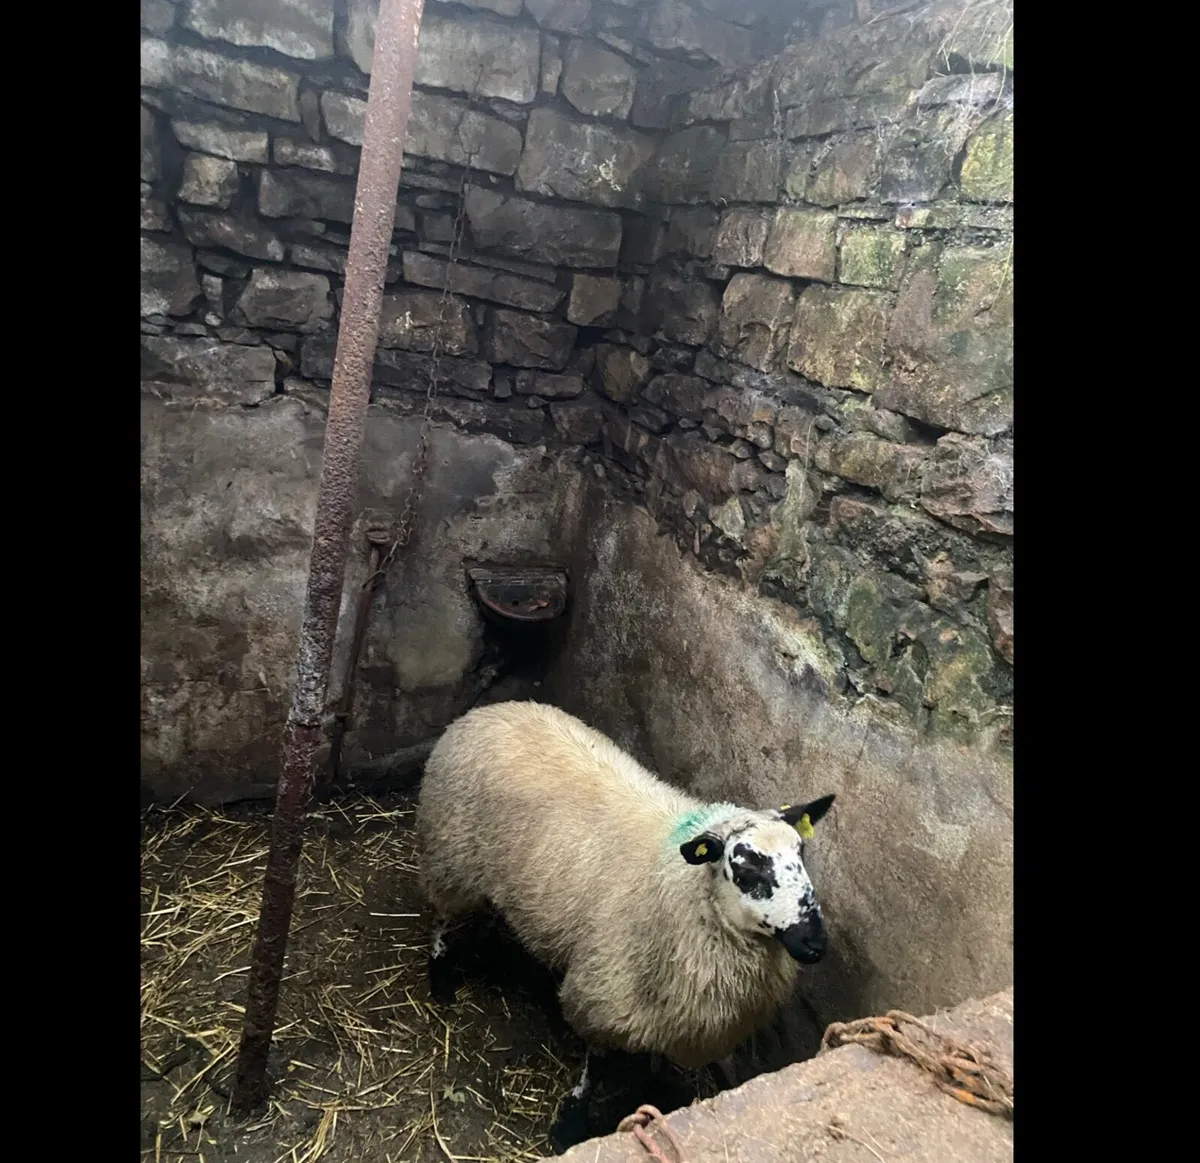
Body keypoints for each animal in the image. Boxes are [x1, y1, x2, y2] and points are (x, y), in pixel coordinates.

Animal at [415, 700, 835, 1146]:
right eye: (746, 867)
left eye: (802, 852)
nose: (815, 943)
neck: (679, 882)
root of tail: (488, 709)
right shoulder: (605, 993)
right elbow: (596, 1064)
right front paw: (571, 1123)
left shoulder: (669, 1006)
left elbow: (657, 1059)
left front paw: (656, 1088)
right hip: (450, 853)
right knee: (441, 914)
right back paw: (440, 976)